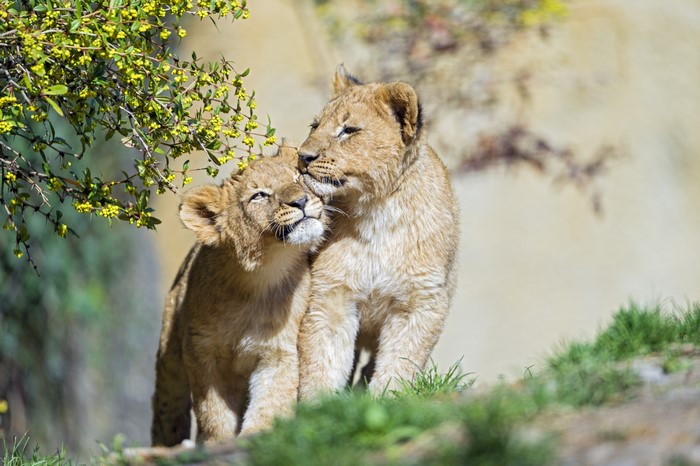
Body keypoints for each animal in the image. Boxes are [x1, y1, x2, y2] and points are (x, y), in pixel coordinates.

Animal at [151, 146, 328, 446]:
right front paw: (216, 443)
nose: (301, 200)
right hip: (169, 355)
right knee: (166, 403)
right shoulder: (200, 351)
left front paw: (258, 436)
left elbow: (271, 400)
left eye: (298, 178)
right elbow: (213, 411)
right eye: (260, 195)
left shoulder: (278, 351)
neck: (258, 280)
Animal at [296, 65, 460, 398]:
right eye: (315, 126)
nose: (302, 156)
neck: (375, 210)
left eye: (348, 130)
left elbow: (400, 361)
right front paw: (317, 405)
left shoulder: (420, 301)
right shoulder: (331, 294)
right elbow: (323, 360)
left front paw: (386, 398)